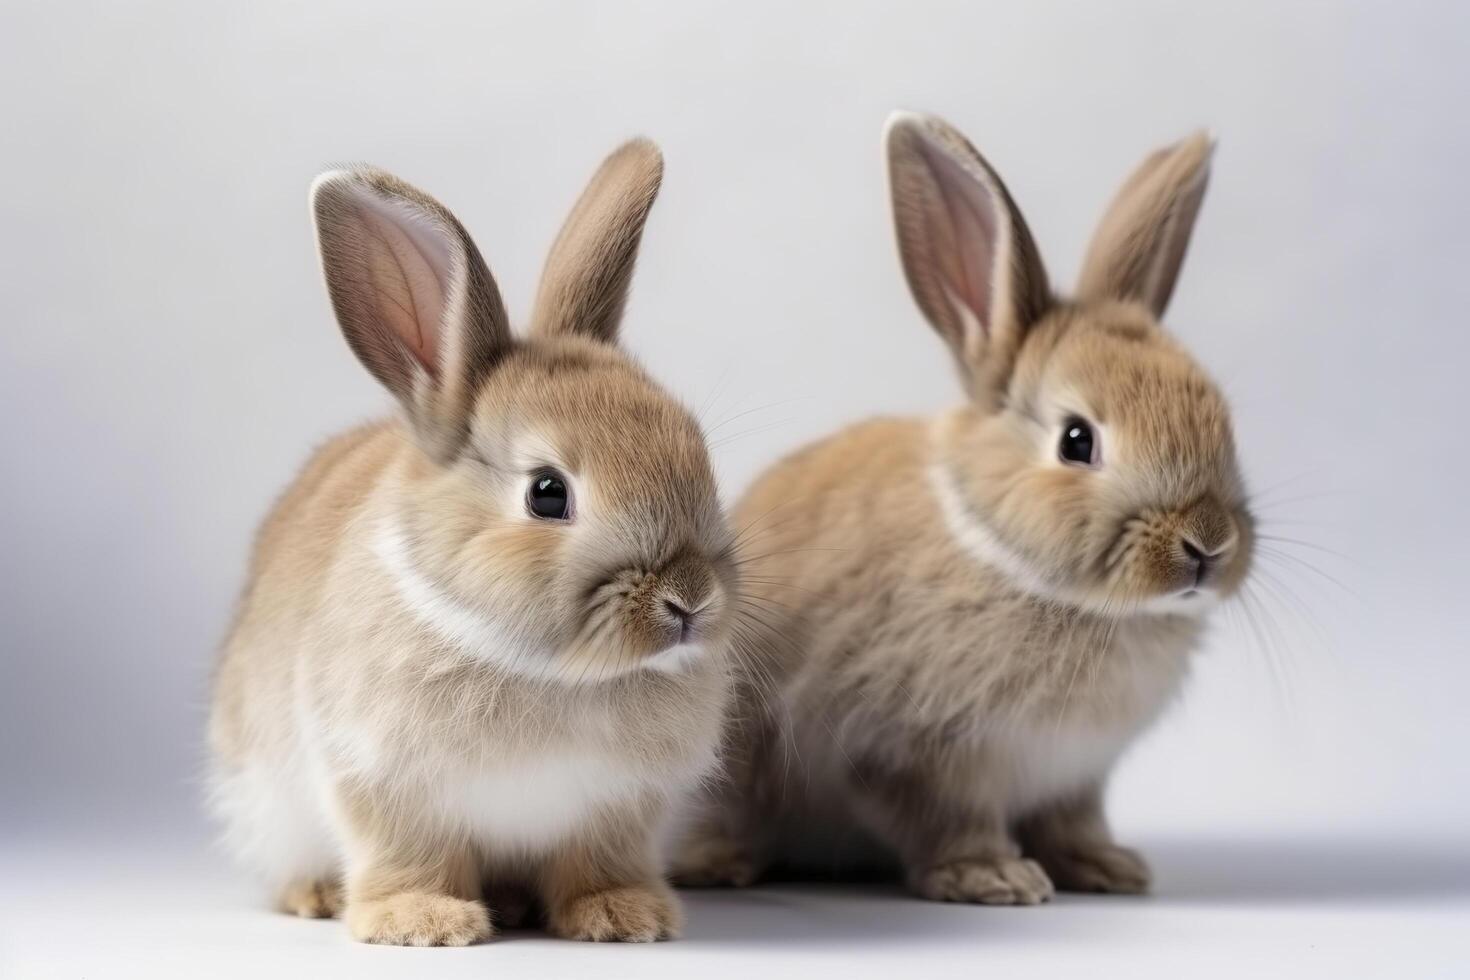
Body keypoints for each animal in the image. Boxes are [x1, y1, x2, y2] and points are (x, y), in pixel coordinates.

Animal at [205, 138, 735, 940]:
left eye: (698, 453)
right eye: (547, 493)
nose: (690, 601)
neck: (552, 672)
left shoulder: (617, 809)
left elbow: (597, 862)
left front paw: (622, 916)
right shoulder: (381, 781)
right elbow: (408, 855)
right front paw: (421, 923)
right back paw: (321, 896)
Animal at [673, 113, 1258, 905]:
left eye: (1222, 421)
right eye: (1077, 441)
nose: (1208, 544)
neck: (999, 551)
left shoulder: (1076, 777)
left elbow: (1072, 822)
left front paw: (1107, 868)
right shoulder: (912, 753)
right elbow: (948, 817)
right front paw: (994, 877)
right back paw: (714, 866)